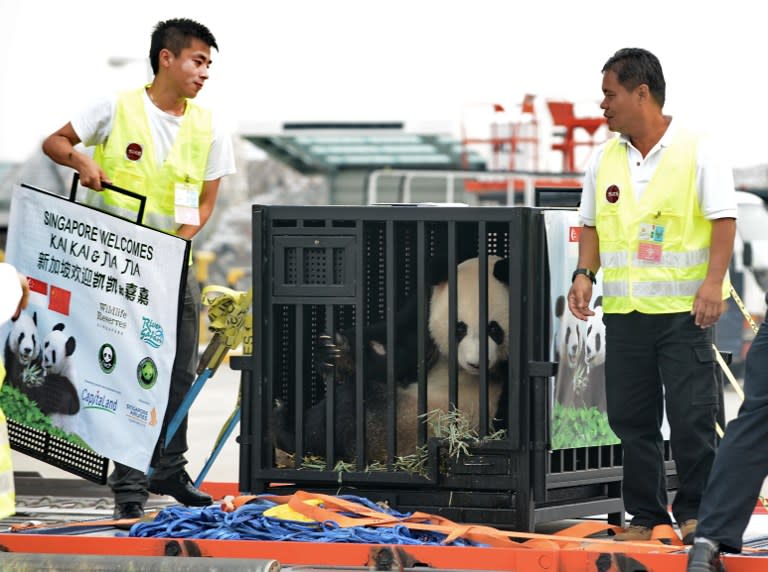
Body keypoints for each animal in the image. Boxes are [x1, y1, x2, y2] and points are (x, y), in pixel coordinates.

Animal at [274, 256, 510, 462]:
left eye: (494, 329)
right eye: (459, 328)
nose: (475, 363)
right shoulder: (425, 312)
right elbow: (395, 353)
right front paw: (336, 353)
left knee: (345, 408)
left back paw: (285, 427)